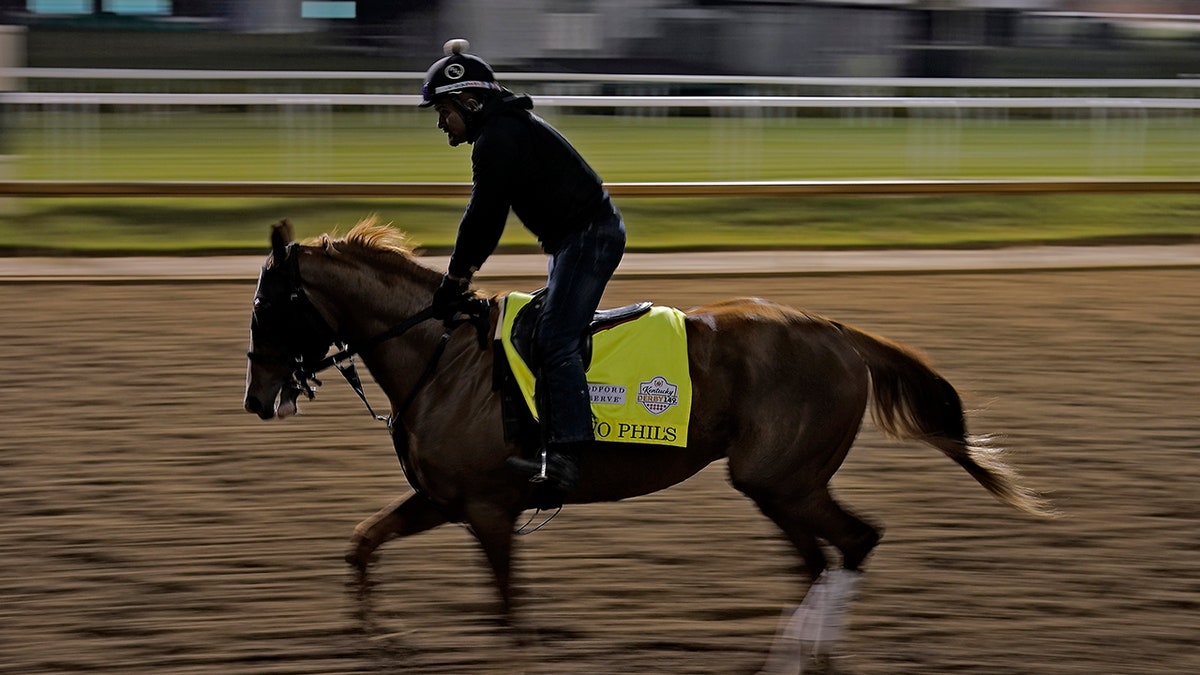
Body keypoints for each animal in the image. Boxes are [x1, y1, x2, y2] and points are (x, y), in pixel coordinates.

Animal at [243, 222, 1051, 667]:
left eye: (271, 305)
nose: (256, 397)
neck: (442, 359)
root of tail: (839, 332)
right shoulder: (445, 498)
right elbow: (362, 542)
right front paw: (378, 640)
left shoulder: (488, 508)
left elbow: (509, 614)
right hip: (783, 483)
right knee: (822, 557)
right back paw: (800, 657)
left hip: (780, 478)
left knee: (850, 544)